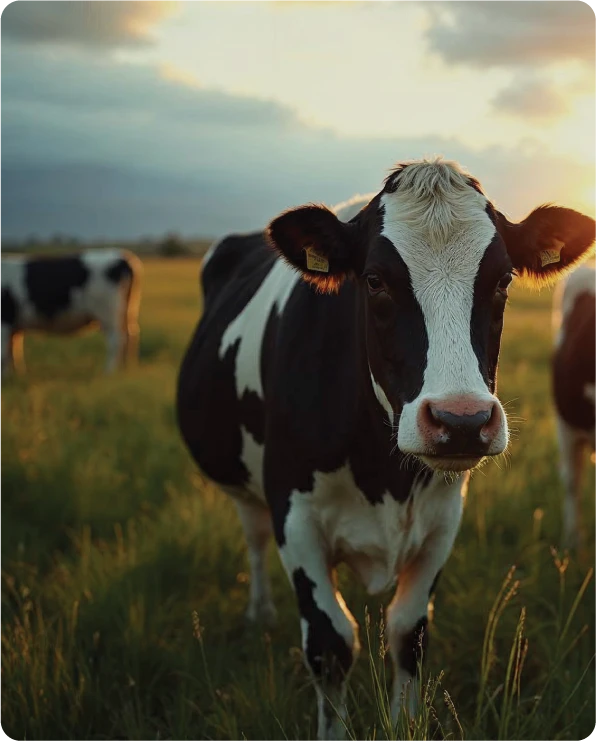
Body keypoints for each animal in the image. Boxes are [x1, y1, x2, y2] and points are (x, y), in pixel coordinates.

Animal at [0, 249, 142, 380]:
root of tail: (122, 256)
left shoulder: (4, 322)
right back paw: (126, 368)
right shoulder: (14, 325)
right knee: (131, 334)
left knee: (116, 340)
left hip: (108, 313)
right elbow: (14, 351)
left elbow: (4, 353)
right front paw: (16, 375)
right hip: (127, 311)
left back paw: (109, 372)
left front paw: (6, 377)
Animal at [176, 158, 596, 740]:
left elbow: (408, 632)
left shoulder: (443, 518)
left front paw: (405, 721)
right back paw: (259, 612)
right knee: (254, 537)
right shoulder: (295, 514)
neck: (384, 475)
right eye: (374, 281)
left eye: (503, 280)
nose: (461, 421)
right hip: (247, 485)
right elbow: (330, 643)